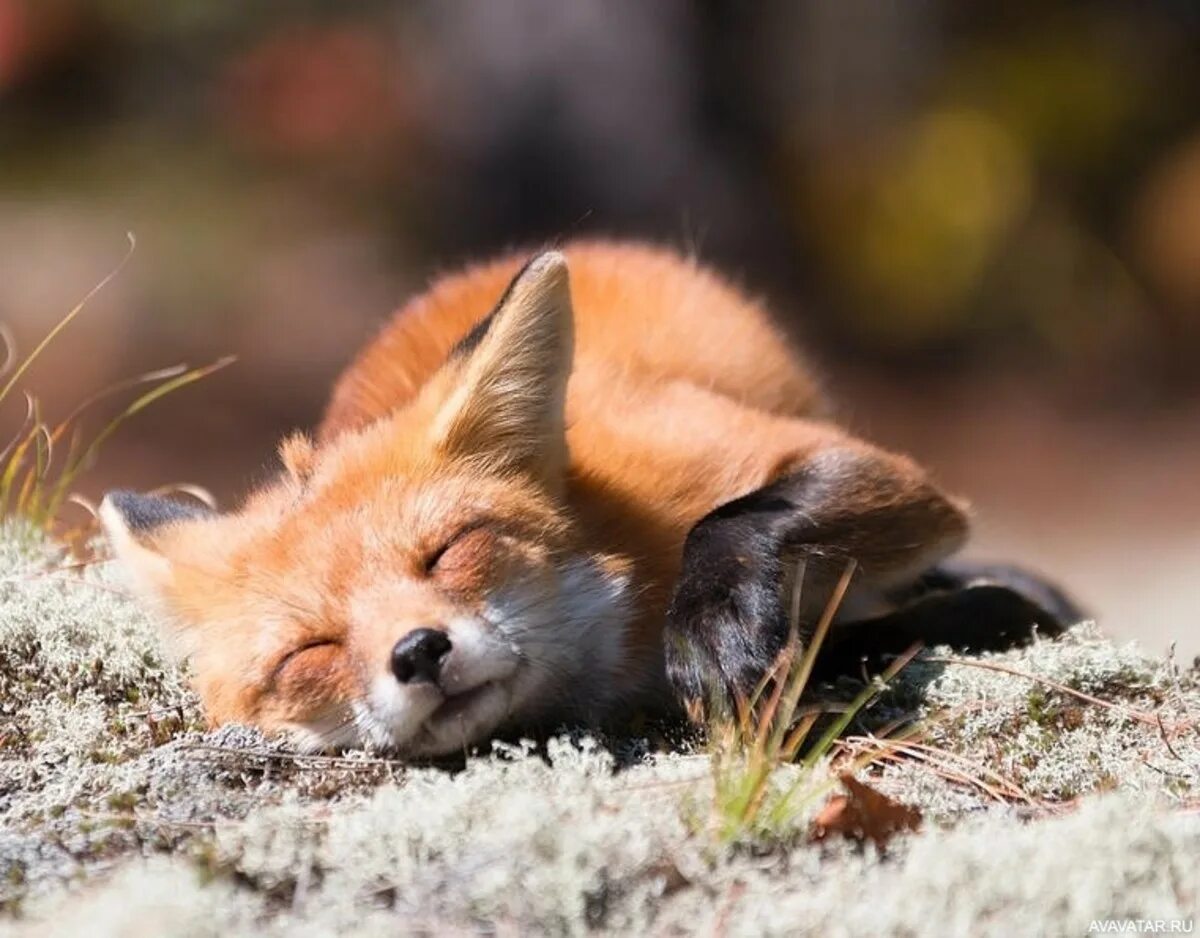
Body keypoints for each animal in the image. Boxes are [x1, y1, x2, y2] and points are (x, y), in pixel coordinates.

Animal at [98, 241, 1084, 758]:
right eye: (310, 652)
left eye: (449, 550)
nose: (417, 652)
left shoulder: (864, 471)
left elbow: (735, 522)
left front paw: (720, 633)